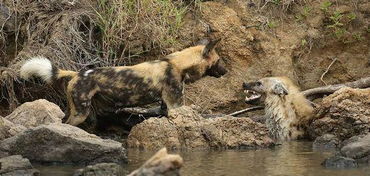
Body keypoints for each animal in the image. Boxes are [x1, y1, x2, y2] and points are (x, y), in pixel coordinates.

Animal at [21, 38, 228, 126]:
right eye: (219, 60)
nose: (226, 71)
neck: (177, 64)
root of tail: (77, 73)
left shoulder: (165, 106)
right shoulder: (175, 105)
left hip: (83, 111)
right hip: (80, 113)